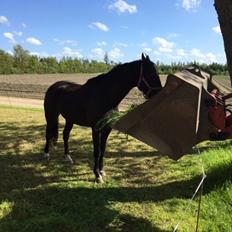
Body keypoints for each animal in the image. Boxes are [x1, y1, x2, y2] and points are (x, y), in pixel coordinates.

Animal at [43, 54, 161, 183]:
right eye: (150, 73)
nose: (159, 93)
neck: (105, 95)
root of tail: (54, 86)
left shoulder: (107, 128)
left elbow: (103, 149)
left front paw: (102, 171)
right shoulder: (96, 128)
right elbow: (97, 151)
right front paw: (97, 175)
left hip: (70, 119)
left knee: (65, 135)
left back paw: (67, 157)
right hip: (50, 115)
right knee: (48, 133)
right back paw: (46, 155)